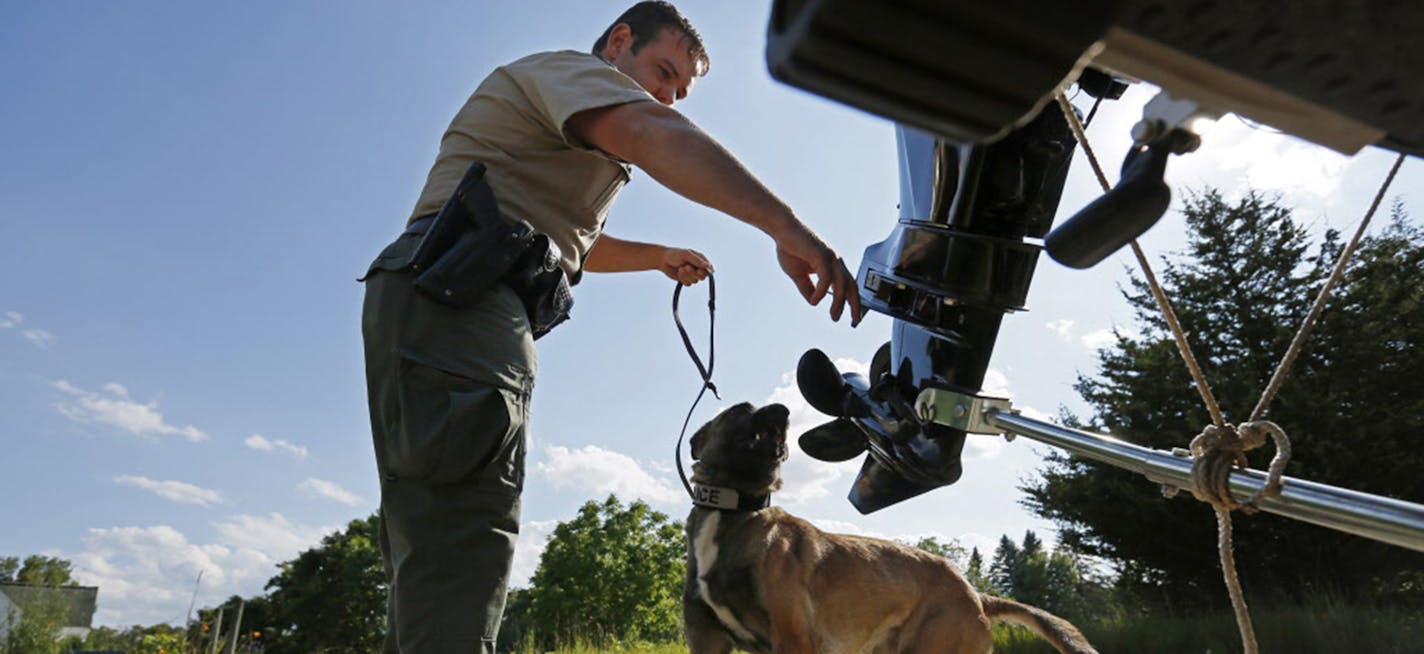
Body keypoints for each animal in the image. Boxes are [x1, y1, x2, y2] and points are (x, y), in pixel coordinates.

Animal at [686, 401, 1099, 652]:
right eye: (741, 410)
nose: (783, 409)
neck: (734, 508)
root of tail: (975, 594)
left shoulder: (793, 637)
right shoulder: (707, 640)